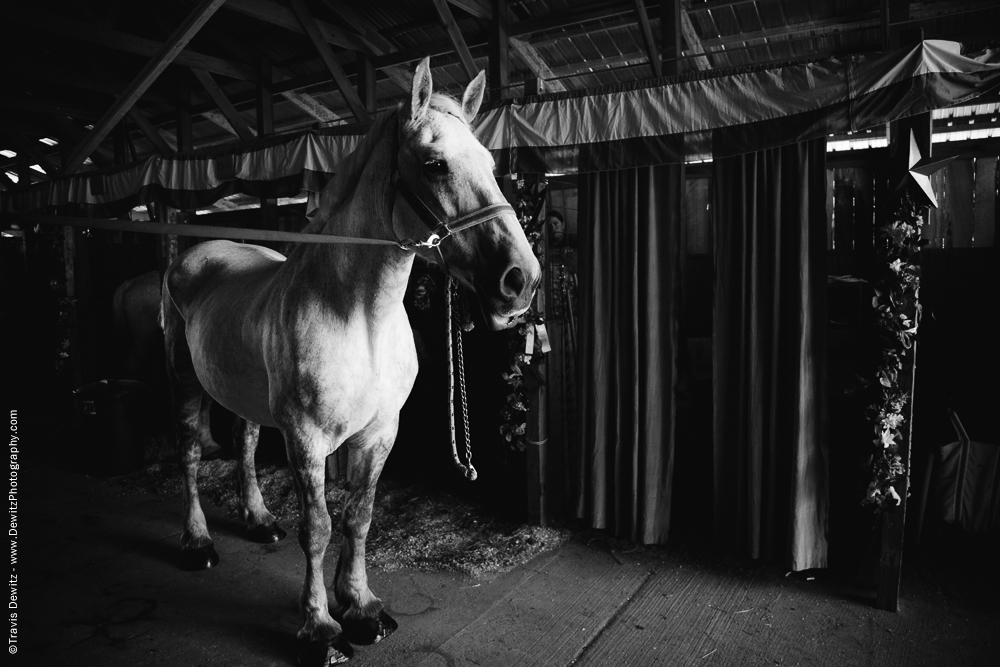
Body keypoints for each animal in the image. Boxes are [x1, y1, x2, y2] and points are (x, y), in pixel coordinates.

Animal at [160, 60, 540, 664]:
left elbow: (359, 517)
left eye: (488, 162)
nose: (521, 280)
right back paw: (196, 542)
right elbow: (317, 527)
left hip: (240, 392)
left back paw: (258, 519)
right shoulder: (306, 439)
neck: (359, 318)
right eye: (435, 165)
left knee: (244, 444)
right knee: (193, 453)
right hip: (184, 381)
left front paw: (360, 607)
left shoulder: (381, 432)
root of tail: (196, 253)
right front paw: (319, 627)